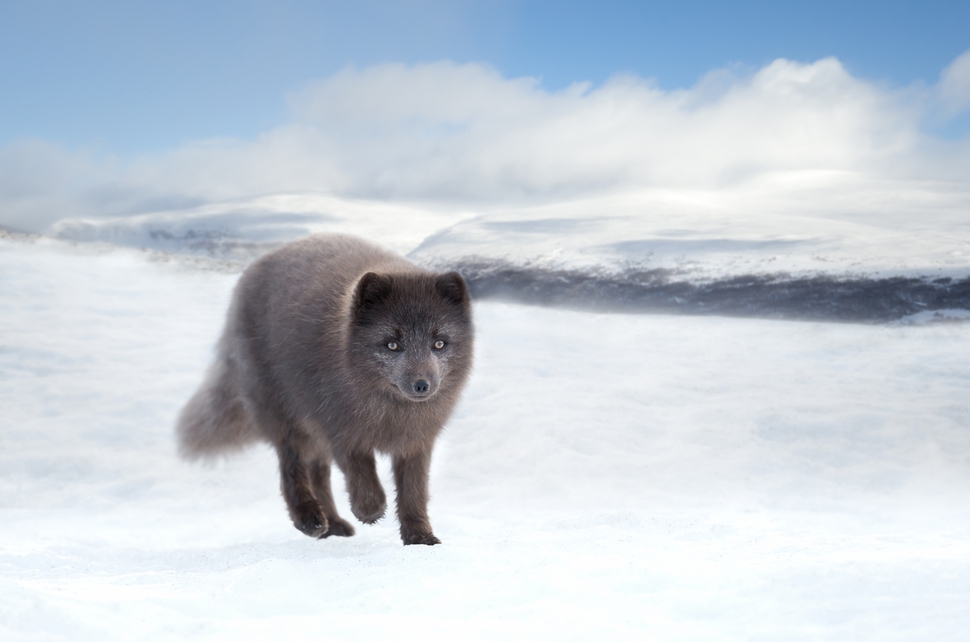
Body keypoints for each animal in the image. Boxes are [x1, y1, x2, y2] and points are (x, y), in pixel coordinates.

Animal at [179, 232, 476, 544]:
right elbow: (361, 475)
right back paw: (309, 519)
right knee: (292, 470)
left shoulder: (417, 441)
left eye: (439, 343)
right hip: (285, 418)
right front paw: (369, 510)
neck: (391, 413)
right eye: (393, 344)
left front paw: (419, 537)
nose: (422, 385)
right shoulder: (339, 429)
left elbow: (414, 491)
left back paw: (331, 525)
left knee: (318, 474)